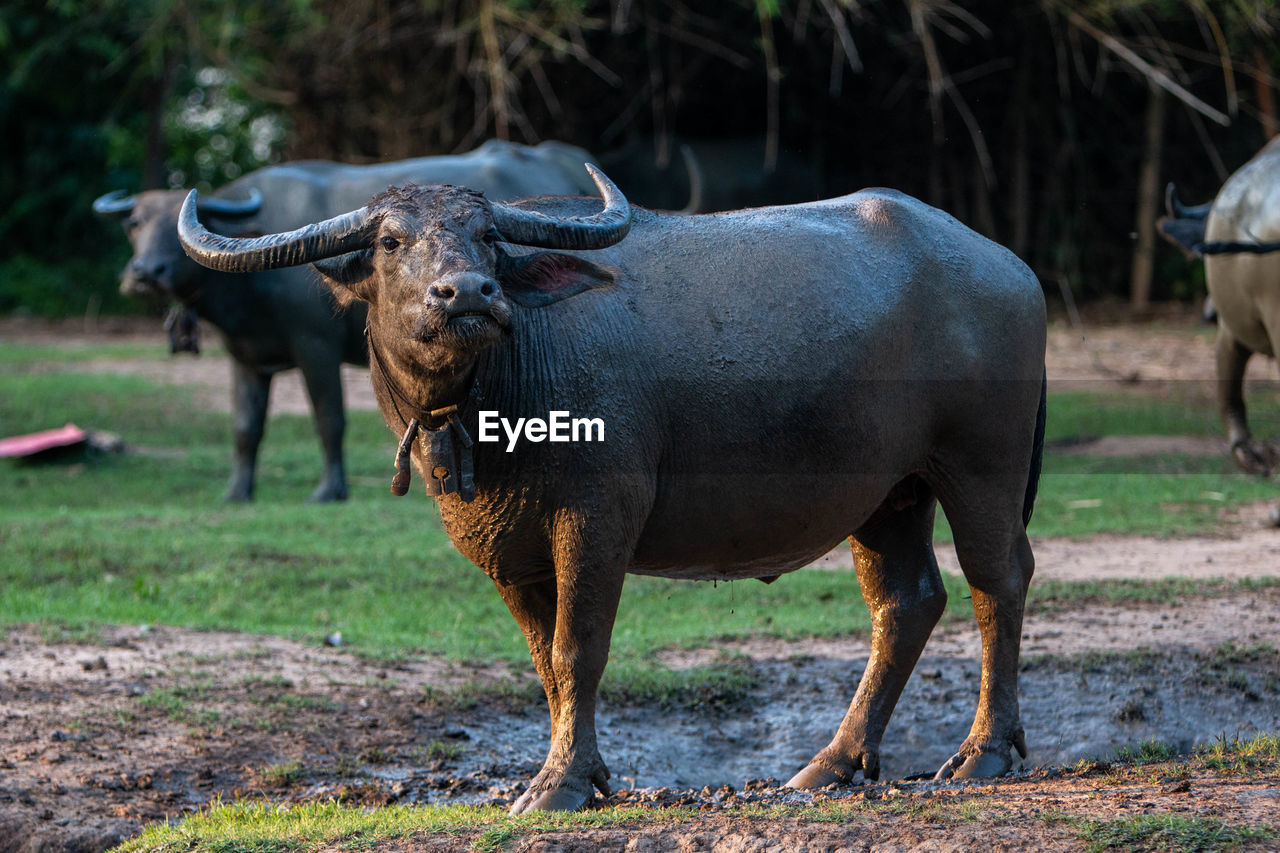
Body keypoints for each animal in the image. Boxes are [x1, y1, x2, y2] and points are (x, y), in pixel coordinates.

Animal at [92, 138, 601, 499]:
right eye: (135, 223)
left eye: (164, 225)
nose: (143, 273)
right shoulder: (246, 358)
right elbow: (245, 427)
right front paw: (237, 492)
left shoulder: (315, 348)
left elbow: (329, 418)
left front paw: (330, 490)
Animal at [172, 166, 1049, 809]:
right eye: (391, 241)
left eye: (488, 238)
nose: (468, 293)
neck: (499, 400)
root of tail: (1011, 269)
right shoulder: (506, 551)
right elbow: (543, 659)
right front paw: (578, 771)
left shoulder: (597, 519)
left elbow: (578, 646)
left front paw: (558, 785)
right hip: (887, 490)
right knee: (905, 600)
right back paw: (831, 763)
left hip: (981, 462)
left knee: (996, 578)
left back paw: (982, 753)